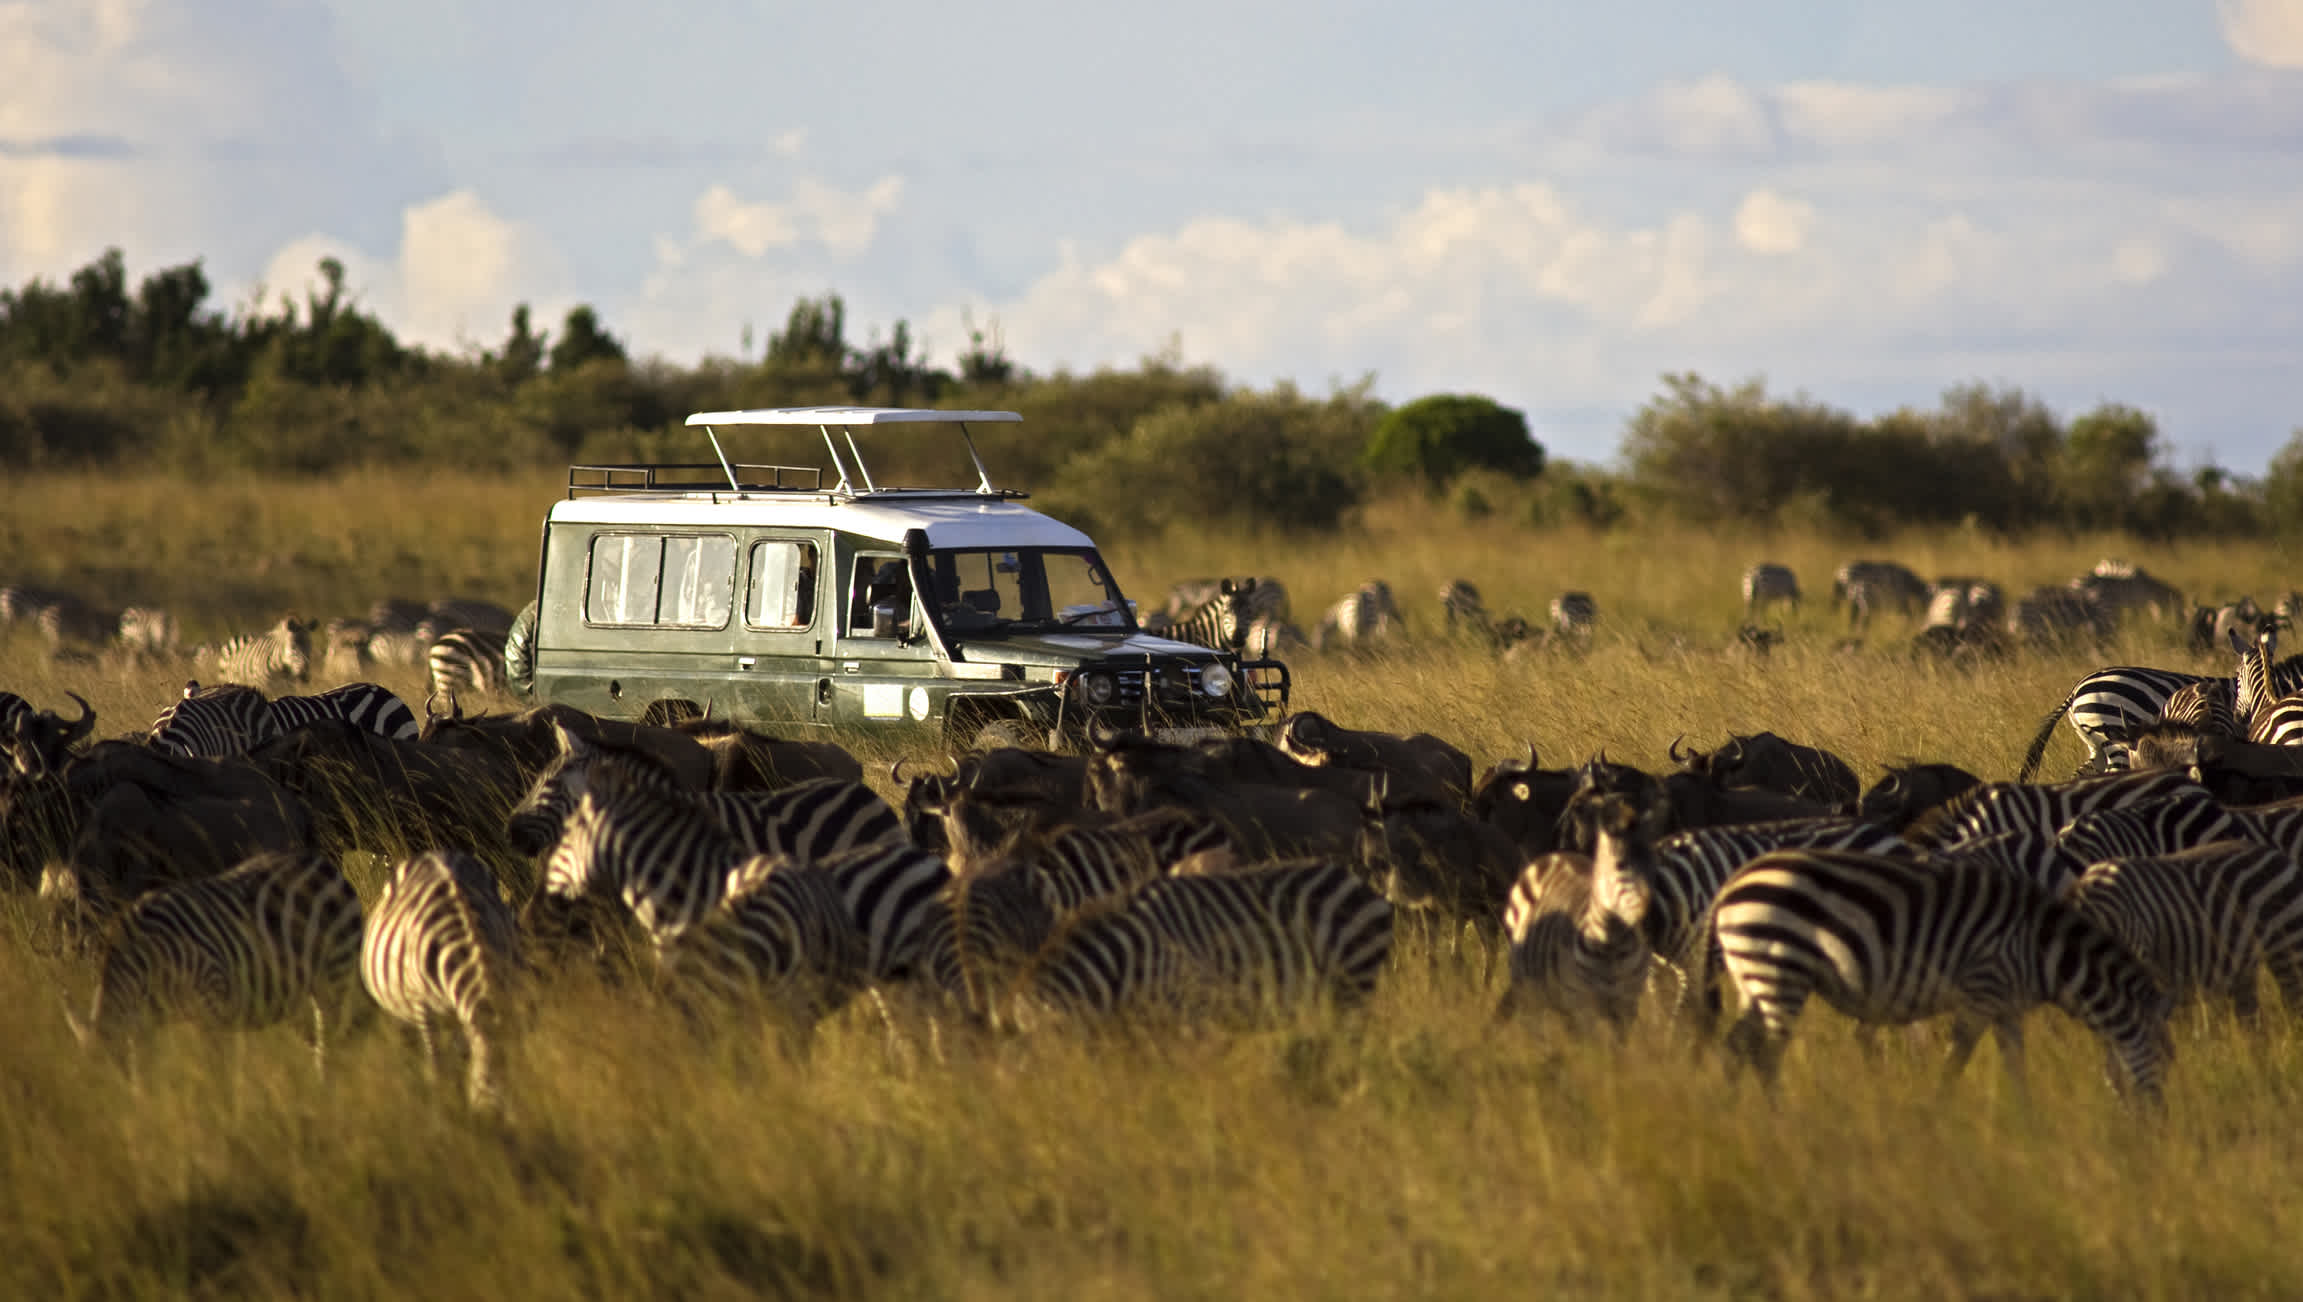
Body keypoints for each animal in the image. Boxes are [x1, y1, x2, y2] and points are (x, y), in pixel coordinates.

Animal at [65, 848, 368, 1069]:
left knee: (330, 1041)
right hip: (296, 989)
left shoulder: (210, 1004)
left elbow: (215, 1070)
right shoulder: (144, 1023)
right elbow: (145, 1069)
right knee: (318, 1039)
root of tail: (323, 864)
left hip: (334, 974)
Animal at [359, 848, 527, 1110]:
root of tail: (435, 854)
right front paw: (442, 1109)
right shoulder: (422, 1008)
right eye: (489, 1088)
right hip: (401, 1012)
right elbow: (437, 1068)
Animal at [1713, 848, 2174, 1101]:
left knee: (1736, 1048)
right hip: (1780, 968)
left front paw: (2028, 1126)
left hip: (1754, 976)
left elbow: (2015, 1066)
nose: (2159, 1126)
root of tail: (1730, 886)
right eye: (2167, 1060)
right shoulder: (1984, 989)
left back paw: (1733, 1114)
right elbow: (1958, 1058)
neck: (2044, 949)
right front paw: (1935, 1113)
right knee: (1766, 1054)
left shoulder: (2007, 1006)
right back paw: (1781, 1118)